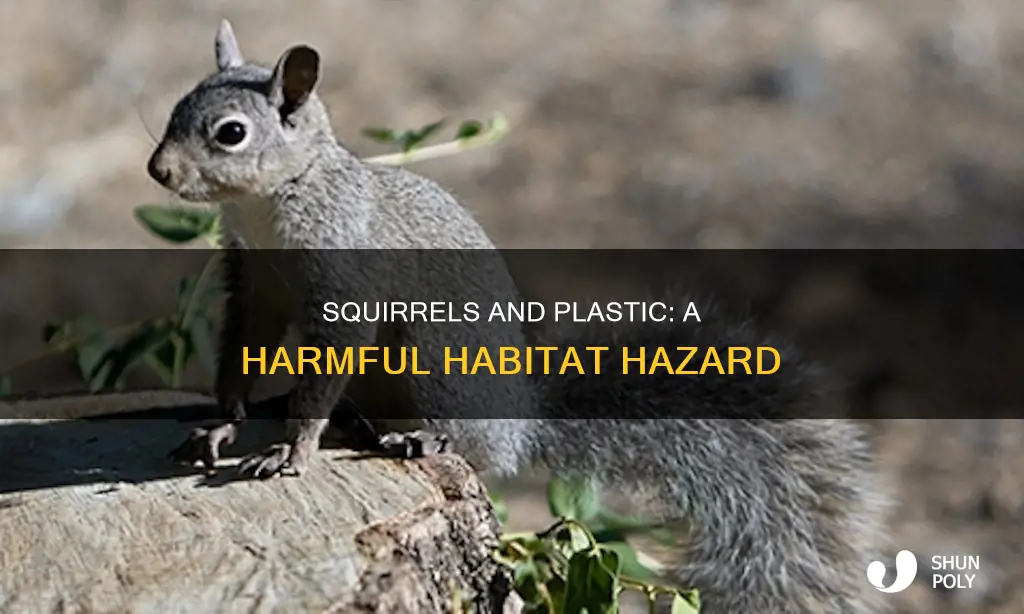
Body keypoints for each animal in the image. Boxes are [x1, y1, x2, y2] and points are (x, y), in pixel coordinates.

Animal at [145, 20, 891, 614]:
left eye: (231, 134)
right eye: (177, 106)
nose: (158, 170)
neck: (270, 206)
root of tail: (522, 421)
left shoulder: (346, 279)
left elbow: (325, 370)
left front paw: (291, 450)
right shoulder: (254, 283)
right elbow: (241, 351)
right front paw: (222, 424)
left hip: (438, 355)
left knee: (471, 445)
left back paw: (424, 439)